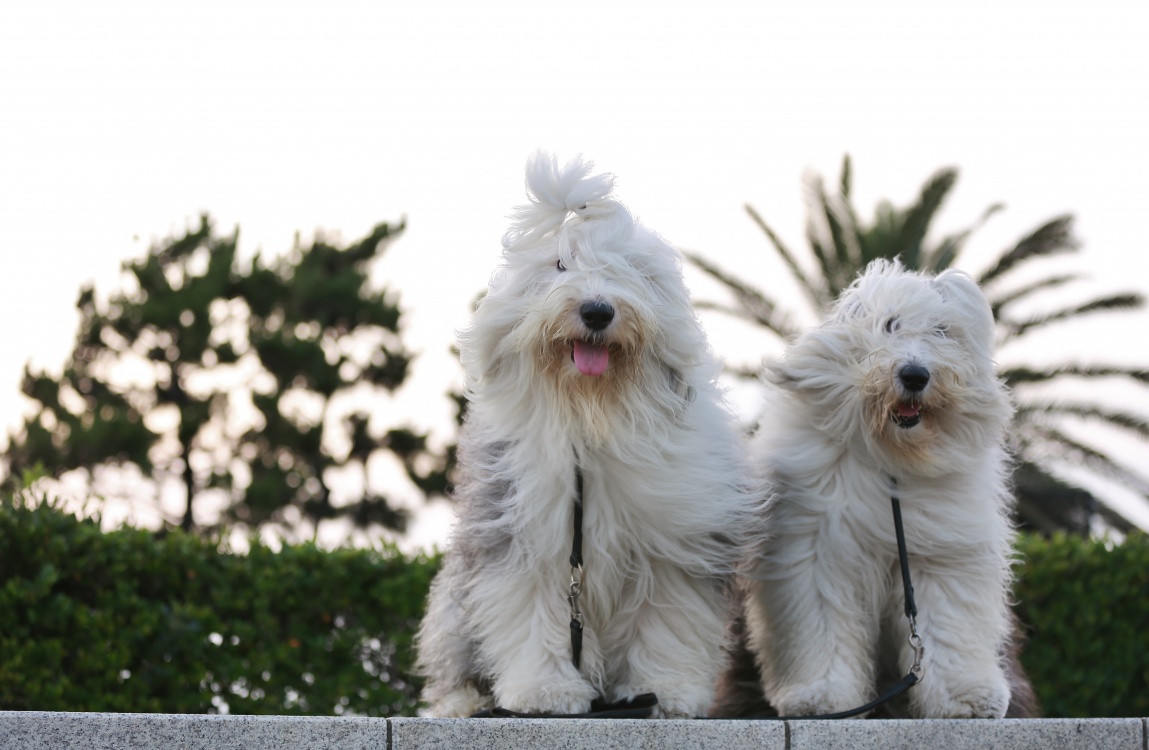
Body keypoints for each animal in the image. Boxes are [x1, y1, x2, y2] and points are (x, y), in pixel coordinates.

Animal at [415, 152, 755, 719]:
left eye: (629, 270)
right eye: (560, 265)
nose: (597, 310)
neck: (590, 415)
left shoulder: (674, 542)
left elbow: (667, 616)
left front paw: (663, 691)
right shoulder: (523, 537)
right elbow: (532, 612)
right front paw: (545, 692)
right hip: (453, 604)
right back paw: (462, 703)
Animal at [713, 259, 1036, 719]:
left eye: (942, 331)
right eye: (889, 325)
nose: (915, 375)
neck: (893, 456)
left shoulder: (940, 556)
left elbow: (945, 626)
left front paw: (965, 698)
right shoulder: (819, 553)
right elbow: (824, 625)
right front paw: (822, 696)